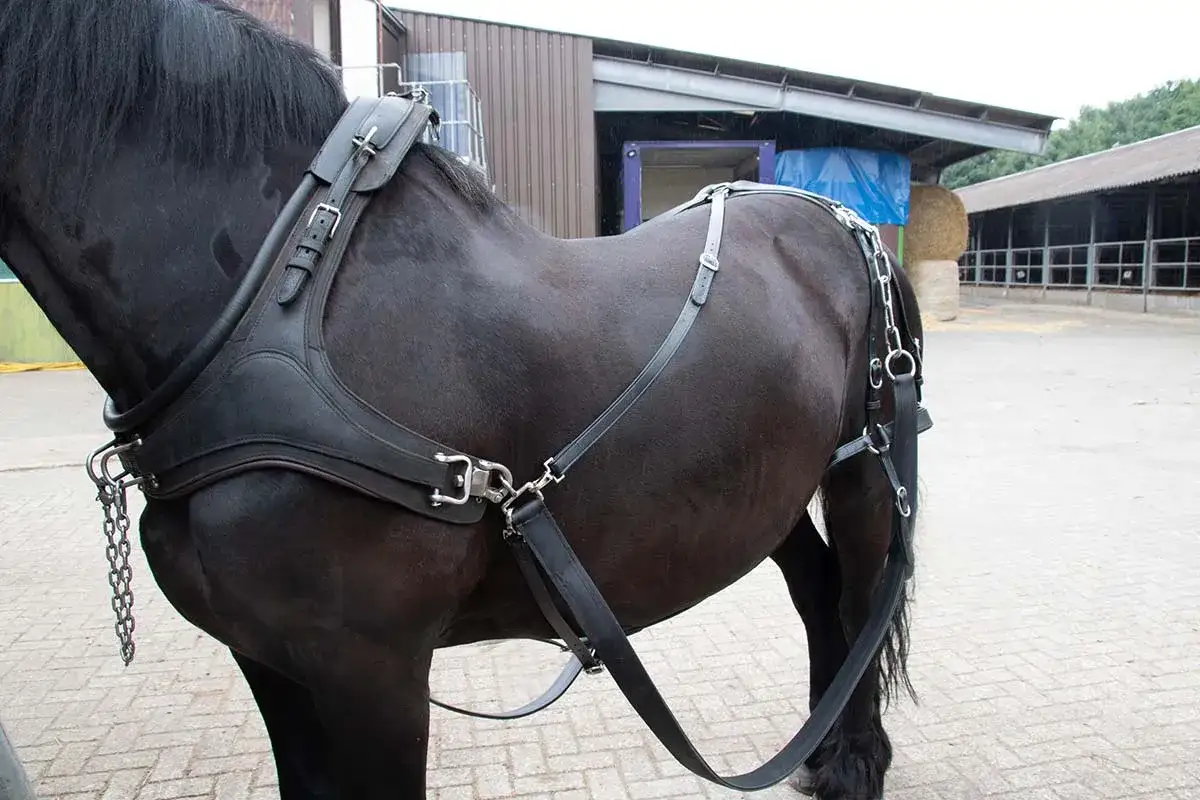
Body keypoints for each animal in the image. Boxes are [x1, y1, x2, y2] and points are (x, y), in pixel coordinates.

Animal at [0, 1, 927, 798]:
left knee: (859, 597)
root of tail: (846, 220)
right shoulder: (268, 659)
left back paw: (853, 763)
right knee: (817, 592)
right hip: (763, 487)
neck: (272, 311)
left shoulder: (371, 670)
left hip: (863, 470)